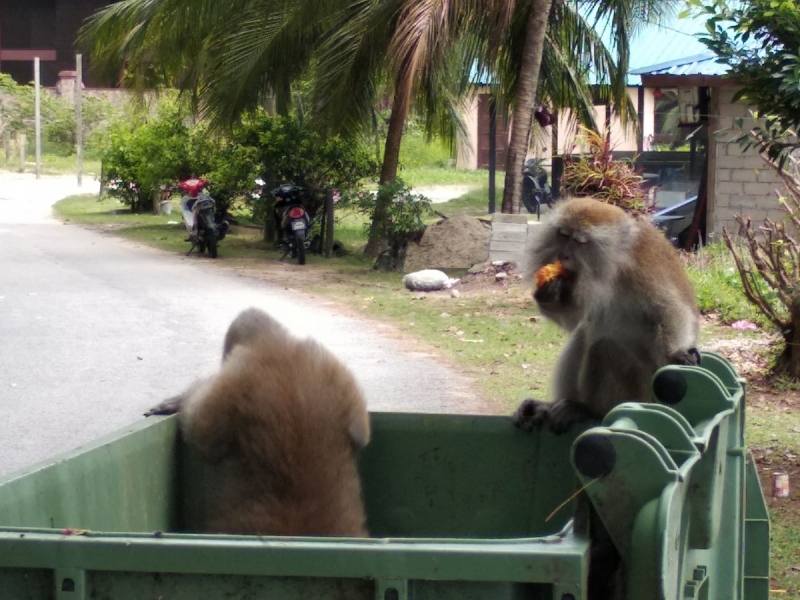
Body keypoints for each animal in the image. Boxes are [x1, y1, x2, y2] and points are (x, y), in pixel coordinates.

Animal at [512, 198, 700, 436]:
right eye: (563, 234)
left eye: (580, 241)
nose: (562, 256)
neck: (613, 265)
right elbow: (576, 320)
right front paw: (548, 295)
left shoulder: (642, 267)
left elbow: (669, 309)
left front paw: (675, 353)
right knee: (583, 335)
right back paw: (549, 407)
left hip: (640, 392)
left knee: (605, 348)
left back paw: (587, 409)